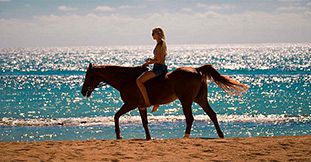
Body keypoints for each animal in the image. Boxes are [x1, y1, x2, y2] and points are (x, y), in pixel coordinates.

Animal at [81, 63, 250, 139]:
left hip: (186, 101)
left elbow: (116, 116)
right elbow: (144, 122)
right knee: (212, 115)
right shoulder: (140, 106)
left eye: (89, 76)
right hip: (200, 99)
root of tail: (196, 70)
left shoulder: (131, 104)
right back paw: (220, 135)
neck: (126, 79)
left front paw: (118, 135)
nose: (83, 91)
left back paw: (186, 136)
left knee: (190, 118)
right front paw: (148, 137)